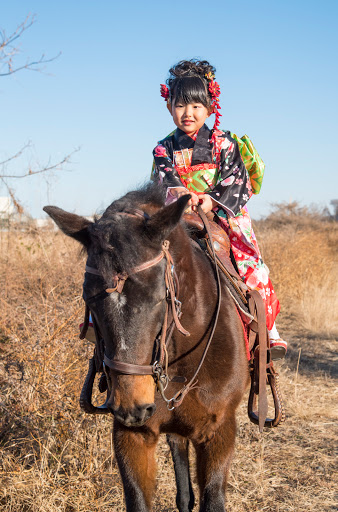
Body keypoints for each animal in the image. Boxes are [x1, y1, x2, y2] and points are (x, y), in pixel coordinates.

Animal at [44, 186, 248, 512]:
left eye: (157, 296)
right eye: (88, 298)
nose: (132, 406)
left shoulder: (219, 431)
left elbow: (213, 498)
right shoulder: (132, 436)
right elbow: (138, 498)